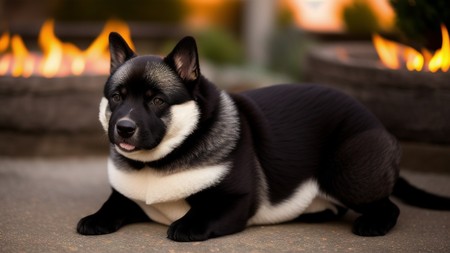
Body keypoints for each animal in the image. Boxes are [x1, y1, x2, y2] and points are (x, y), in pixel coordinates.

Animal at [77, 32, 450, 242]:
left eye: (157, 101)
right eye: (117, 97)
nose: (124, 127)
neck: (157, 163)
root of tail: (374, 120)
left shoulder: (235, 202)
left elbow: (202, 214)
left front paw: (186, 225)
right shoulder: (123, 197)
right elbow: (113, 204)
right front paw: (95, 218)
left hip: (347, 172)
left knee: (387, 205)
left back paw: (373, 223)